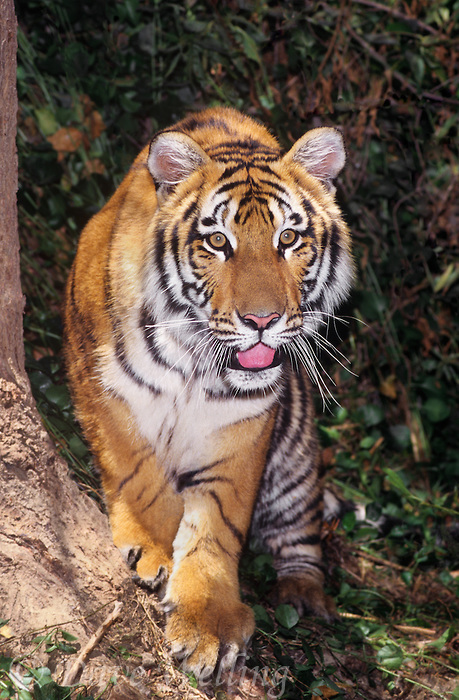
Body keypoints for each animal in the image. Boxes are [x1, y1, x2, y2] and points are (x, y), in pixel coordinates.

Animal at [63, 106, 353, 679]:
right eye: (218, 242)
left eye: (289, 238)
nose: (261, 321)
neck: (197, 361)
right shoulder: (105, 387)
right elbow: (137, 474)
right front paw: (155, 547)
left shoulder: (245, 423)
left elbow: (219, 522)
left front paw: (208, 623)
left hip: (295, 458)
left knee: (302, 535)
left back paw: (303, 597)